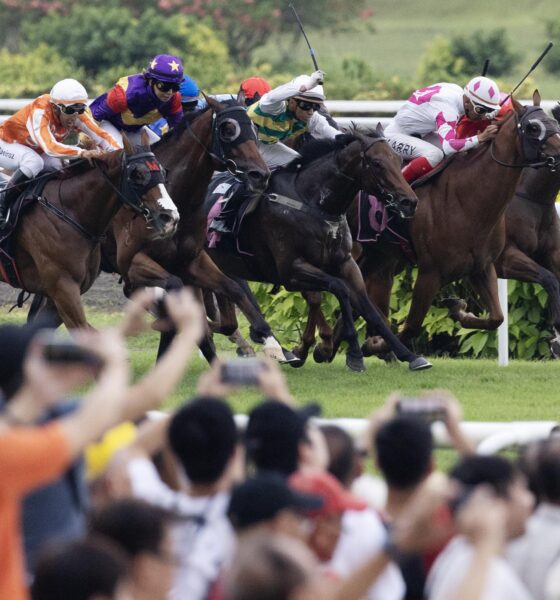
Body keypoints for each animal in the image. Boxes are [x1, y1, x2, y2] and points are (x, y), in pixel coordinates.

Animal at [9, 135, 177, 328]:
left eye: (163, 172)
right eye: (137, 174)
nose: (171, 218)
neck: (70, 211)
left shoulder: (59, 296)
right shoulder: (63, 289)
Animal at [203, 132, 430, 370]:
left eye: (398, 159)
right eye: (377, 163)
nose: (409, 202)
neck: (314, 204)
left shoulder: (346, 264)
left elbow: (368, 308)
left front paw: (409, 355)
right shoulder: (292, 271)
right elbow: (339, 289)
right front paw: (353, 354)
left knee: (229, 317)